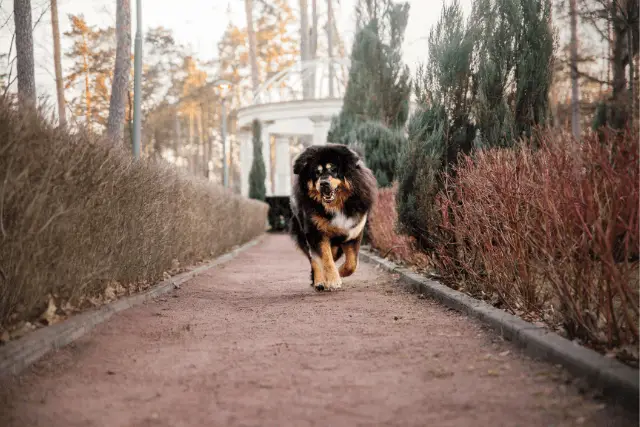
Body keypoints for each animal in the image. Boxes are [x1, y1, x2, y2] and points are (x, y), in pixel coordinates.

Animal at [288, 143, 378, 290]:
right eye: (317, 172)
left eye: (333, 169)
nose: (324, 183)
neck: (336, 207)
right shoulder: (316, 234)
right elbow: (325, 259)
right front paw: (333, 279)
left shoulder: (353, 233)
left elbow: (352, 264)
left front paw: (339, 273)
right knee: (314, 260)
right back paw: (319, 281)